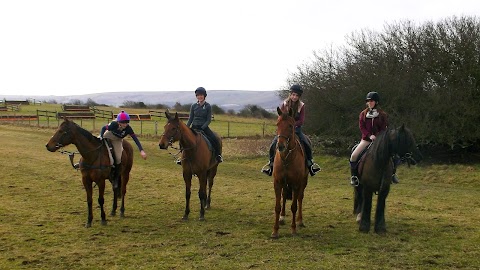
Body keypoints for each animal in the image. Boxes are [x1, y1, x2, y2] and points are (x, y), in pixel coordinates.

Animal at [272, 106, 310, 237]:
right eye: (277, 124)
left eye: (290, 125)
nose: (280, 146)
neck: (287, 158)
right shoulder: (278, 183)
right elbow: (277, 206)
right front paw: (275, 231)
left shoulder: (296, 184)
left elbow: (294, 206)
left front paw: (293, 229)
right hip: (285, 183)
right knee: (284, 196)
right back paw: (282, 218)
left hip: (303, 181)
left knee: (300, 198)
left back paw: (300, 221)